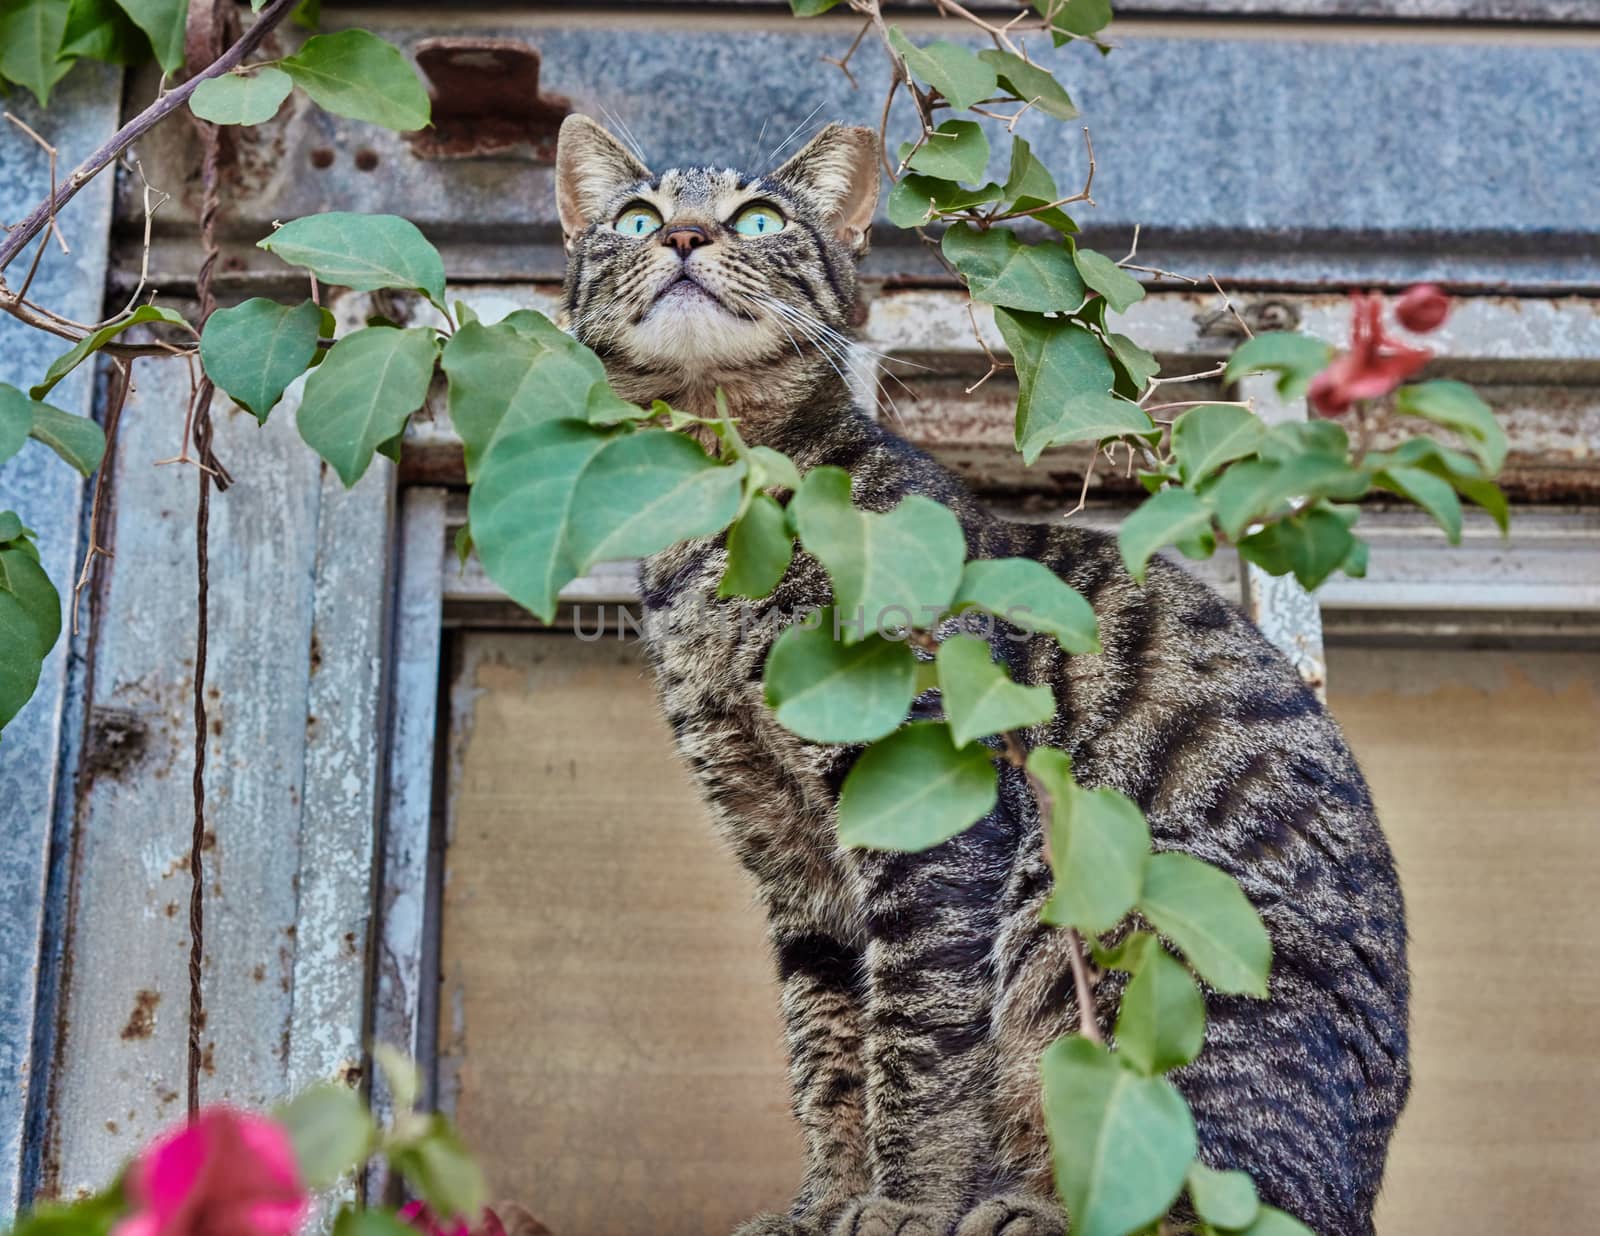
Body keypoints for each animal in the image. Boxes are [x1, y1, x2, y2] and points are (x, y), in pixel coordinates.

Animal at [556, 113, 1408, 1236]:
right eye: (636, 218)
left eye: (759, 218)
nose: (687, 236)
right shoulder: (789, 863)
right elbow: (829, 1053)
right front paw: (825, 1202)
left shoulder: (926, 818)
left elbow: (920, 1043)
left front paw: (908, 1204)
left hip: (1091, 892)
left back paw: (1026, 1207)